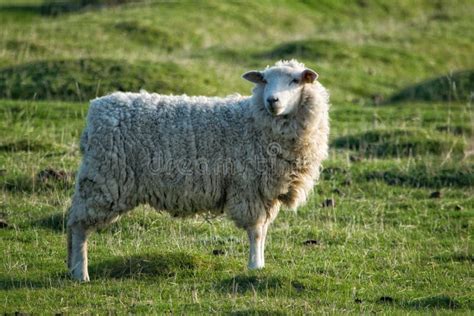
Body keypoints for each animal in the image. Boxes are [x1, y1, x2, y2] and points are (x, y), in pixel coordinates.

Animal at [66, 59, 330, 282]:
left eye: (295, 80)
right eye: (264, 80)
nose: (272, 100)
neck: (256, 123)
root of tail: (96, 108)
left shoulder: (265, 192)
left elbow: (263, 231)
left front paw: (261, 265)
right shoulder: (247, 187)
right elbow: (256, 231)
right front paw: (254, 266)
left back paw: (72, 268)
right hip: (104, 178)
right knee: (79, 225)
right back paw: (81, 273)